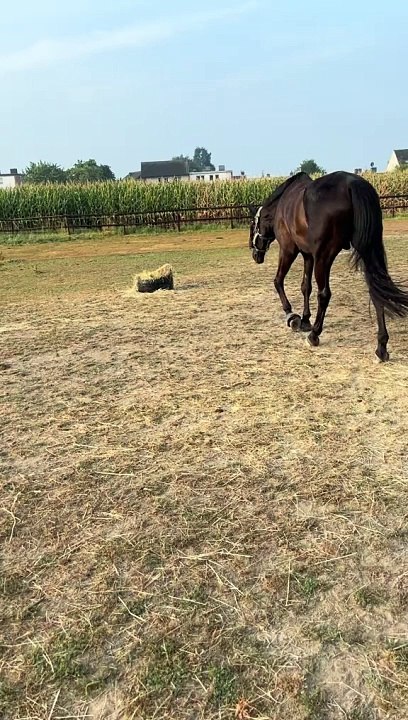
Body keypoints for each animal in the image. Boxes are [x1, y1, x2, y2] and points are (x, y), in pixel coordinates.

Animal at [248, 171, 408, 361]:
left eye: (253, 225)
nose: (255, 255)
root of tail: (351, 183)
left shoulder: (289, 250)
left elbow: (278, 280)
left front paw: (292, 317)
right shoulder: (308, 255)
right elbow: (305, 287)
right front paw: (305, 320)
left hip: (324, 256)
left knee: (324, 294)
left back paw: (314, 335)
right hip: (368, 250)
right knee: (376, 291)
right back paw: (381, 348)